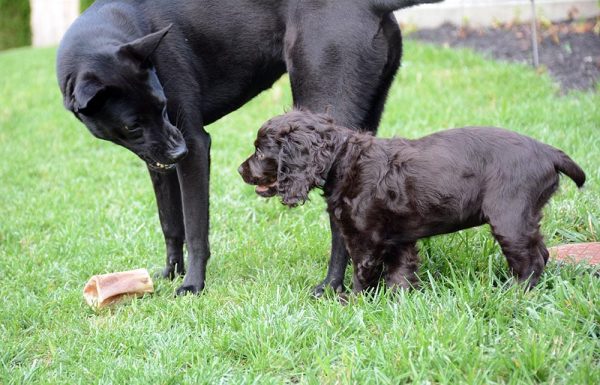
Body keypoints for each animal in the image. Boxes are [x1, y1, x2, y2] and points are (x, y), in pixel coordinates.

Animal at [56, 0, 440, 294]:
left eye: (163, 105)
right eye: (133, 126)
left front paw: (192, 284)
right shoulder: (156, 161)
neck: (117, 26)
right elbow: (171, 224)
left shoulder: (195, 144)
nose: (178, 154)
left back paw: (332, 285)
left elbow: (196, 228)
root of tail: (372, 4)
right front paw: (170, 273)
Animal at [239, 111, 584, 292]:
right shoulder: (398, 235)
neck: (342, 160)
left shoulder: (364, 238)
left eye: (260, 150)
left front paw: (350, 304)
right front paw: (399, 301)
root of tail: (548, 152)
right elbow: (400, 272)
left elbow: (362, 275)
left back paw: (514, 294)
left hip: (510, 216)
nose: (240, 170)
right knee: (541, 252)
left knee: (531, 260)